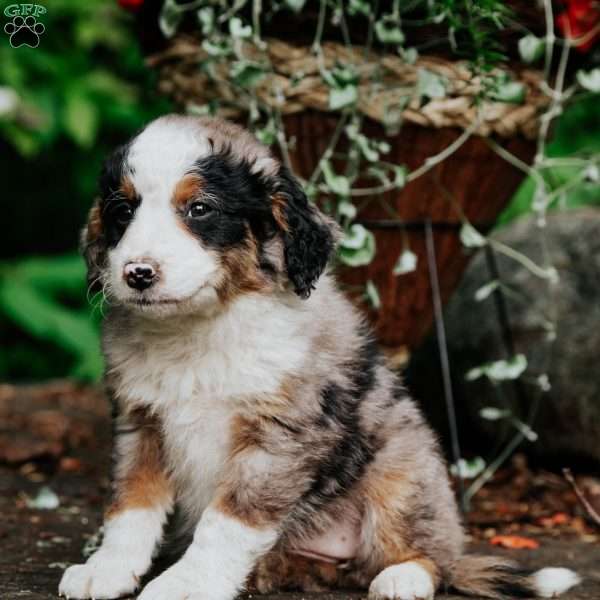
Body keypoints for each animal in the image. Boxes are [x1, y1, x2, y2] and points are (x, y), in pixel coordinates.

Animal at [58, 116, 580, 600]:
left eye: (199, 209)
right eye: (122, 210)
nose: (138, 273)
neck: (198, 327)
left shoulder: (277, 436)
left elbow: (225, 522)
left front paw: (186, 584)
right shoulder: (139, 422)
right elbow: (131, 506)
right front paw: (107, 569)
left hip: (405, 472)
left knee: (432, 554)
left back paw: (403, 576)